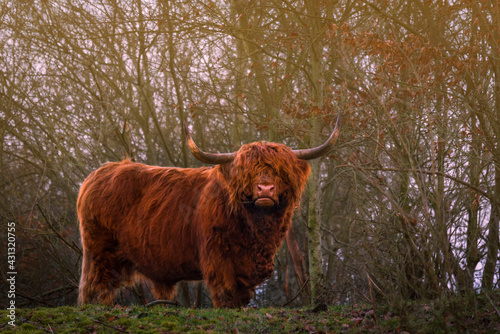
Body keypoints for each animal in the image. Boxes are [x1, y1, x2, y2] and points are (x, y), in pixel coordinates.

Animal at [78, 121, 338, 306]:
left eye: (281, 171)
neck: (255, 230)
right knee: (95, 289)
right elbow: (225, 296)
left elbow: (241, 299)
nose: (265, 189)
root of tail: (97, 175)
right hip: (101, 253)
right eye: (247, 172)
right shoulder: (218, 257)